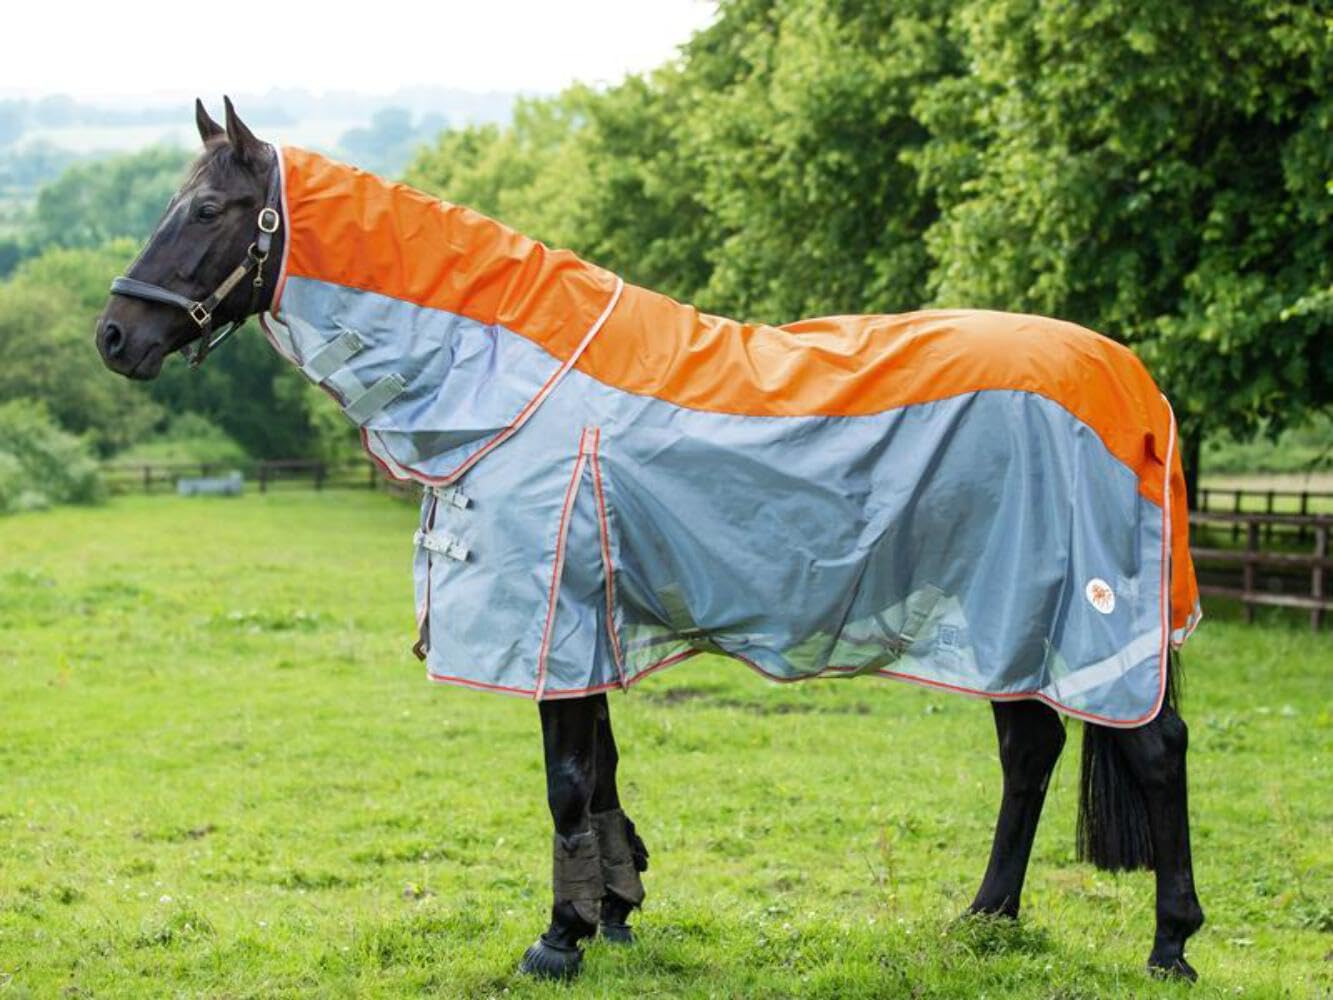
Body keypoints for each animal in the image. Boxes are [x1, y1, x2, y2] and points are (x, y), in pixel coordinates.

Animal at [96, 99, 1205, 982]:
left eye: (205, 211)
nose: (115, 337)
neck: (513, 383)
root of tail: (1130, 382)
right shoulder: (588, 616)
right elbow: (604, 772)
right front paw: (614, 913)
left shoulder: (551, 617)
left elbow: (565, 782)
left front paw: (556, 940)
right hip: (1006, 612)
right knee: (1030, 750)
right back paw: (984, 919)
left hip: (1085, 612)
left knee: (1152, 750)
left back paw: (1169, 945)